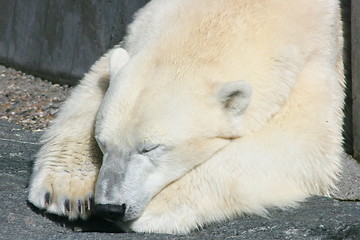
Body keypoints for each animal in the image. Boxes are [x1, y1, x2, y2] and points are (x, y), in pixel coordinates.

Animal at [27, 0, 344, 233]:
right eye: (102, 143)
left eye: (150, 148)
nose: (111, 207)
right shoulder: (139, 30)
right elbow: (94, 83)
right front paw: (65, 192)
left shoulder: (313, 62)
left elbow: (298, 143)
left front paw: (157, 208)